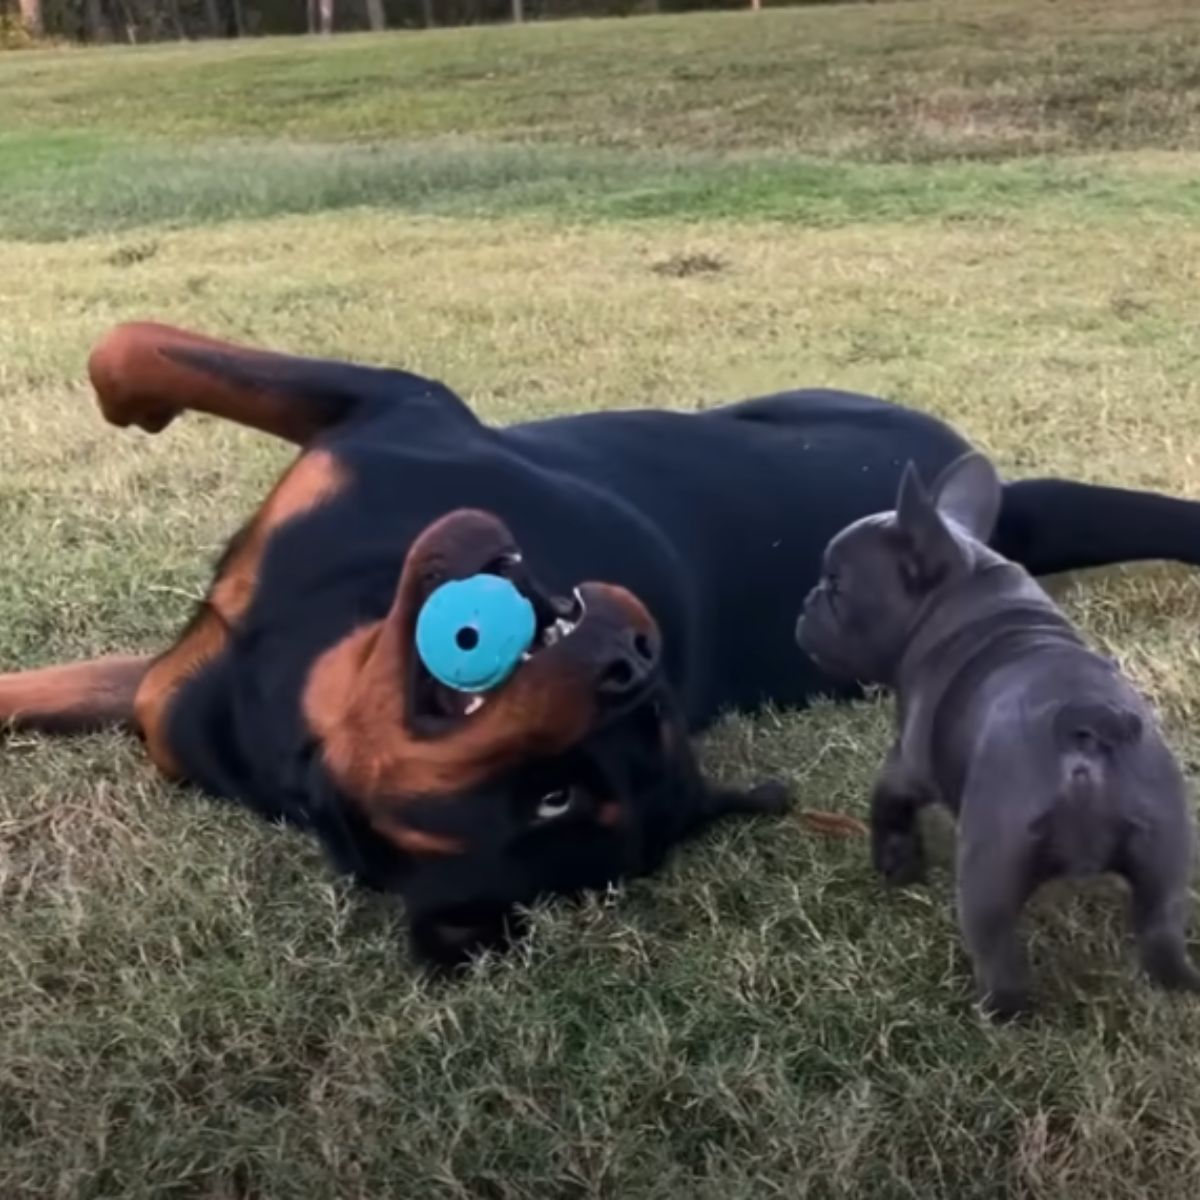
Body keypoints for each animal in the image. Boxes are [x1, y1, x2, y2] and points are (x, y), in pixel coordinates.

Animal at [7, 321, 1200, 964]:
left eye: (554, 799)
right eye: (651, 701)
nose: (634, 654)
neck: (304, 661)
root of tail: (999, 525)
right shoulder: (392, 410)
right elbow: (131, 346)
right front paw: (129, 402)